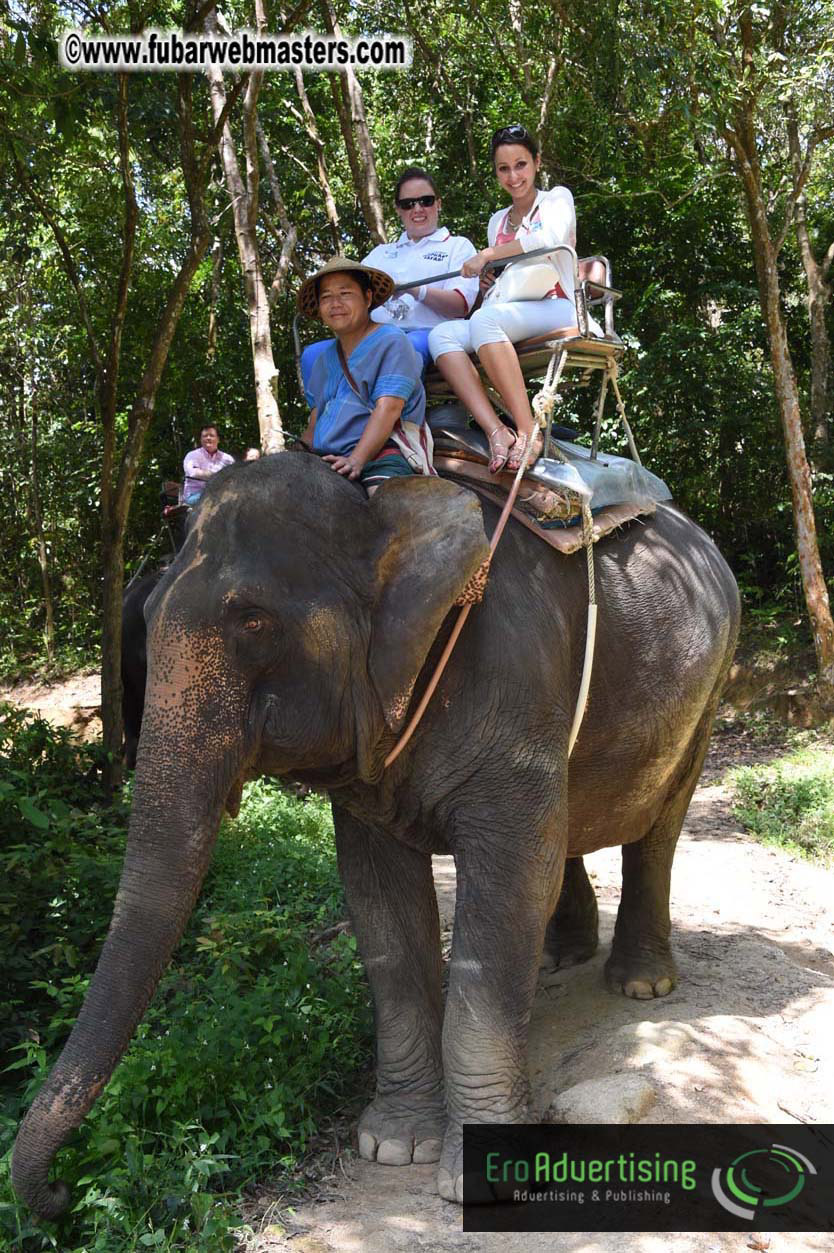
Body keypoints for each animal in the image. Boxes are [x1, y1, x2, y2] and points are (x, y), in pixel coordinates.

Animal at [12, 451, 740, 1216]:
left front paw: (478, 1179)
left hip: (711, 685)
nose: (58, 1191)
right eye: (146, 618)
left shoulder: (514, 679)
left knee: (659, 826)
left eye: (253, 620)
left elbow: (508, 883)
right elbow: (381, 900)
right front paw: (394, 1146)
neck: (382, 510)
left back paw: (640, 985)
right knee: (569, 825)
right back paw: (559, 956)